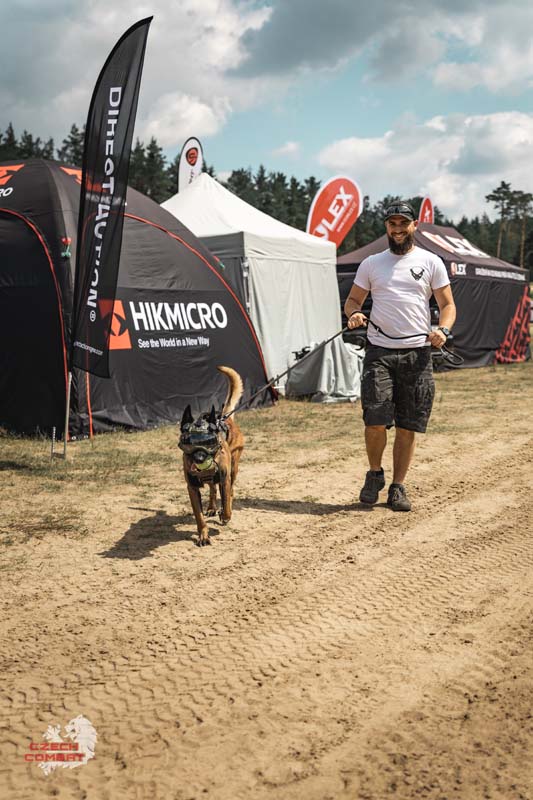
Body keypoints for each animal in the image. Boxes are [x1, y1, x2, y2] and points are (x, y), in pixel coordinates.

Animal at [179, 366, 245, 546]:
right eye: (188, 441)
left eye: (208, 441)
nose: (199, 459)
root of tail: (224, 418)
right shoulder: (192, 489)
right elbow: (199, 517)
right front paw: (203, 535)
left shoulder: (224, 479)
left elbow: (227, 504)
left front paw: (225, 515)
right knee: (212, 490)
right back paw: (211, 507)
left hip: (233, 469)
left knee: (230, 491)